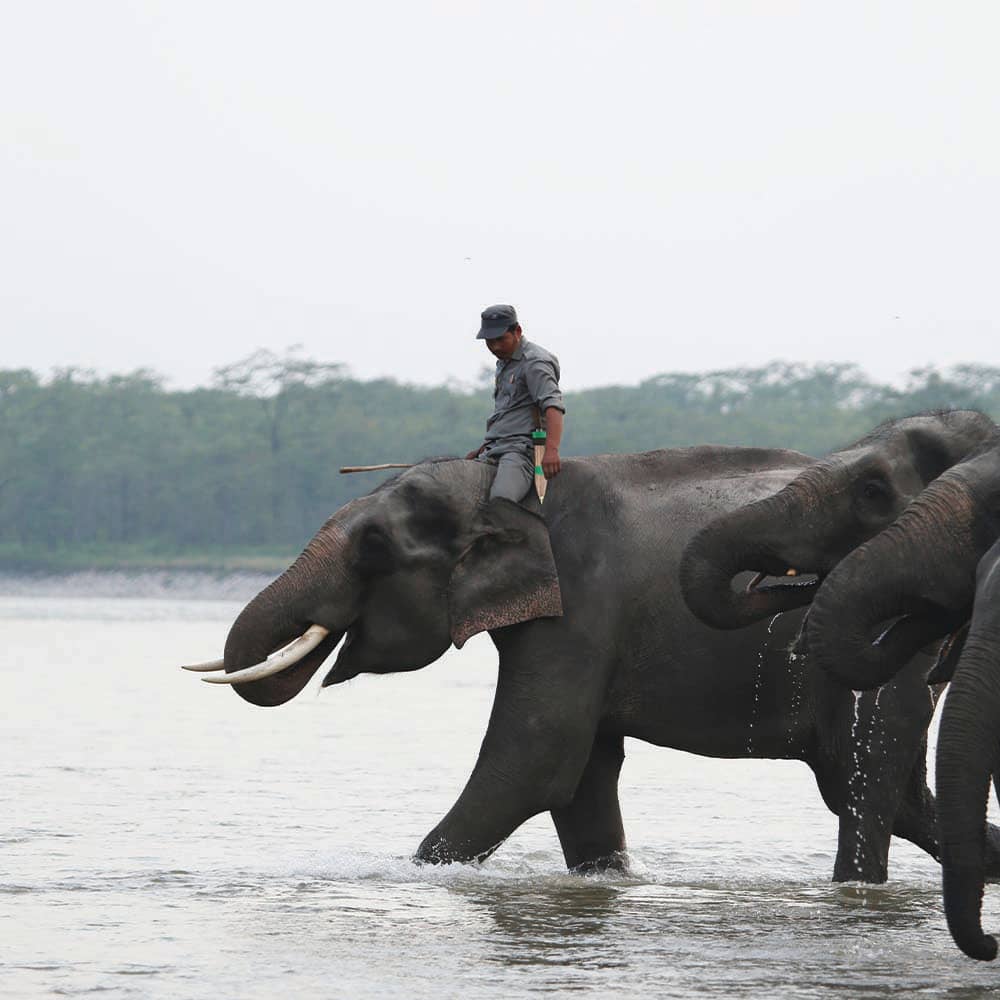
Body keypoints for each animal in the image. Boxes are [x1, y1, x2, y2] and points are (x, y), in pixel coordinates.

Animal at [184, 413, 999, 883]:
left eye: (376, 547)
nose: (789, 585)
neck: (498, 481)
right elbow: (581, 780)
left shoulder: (581, 607)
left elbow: (533, 763)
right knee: (885, 792)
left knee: (862, 787)